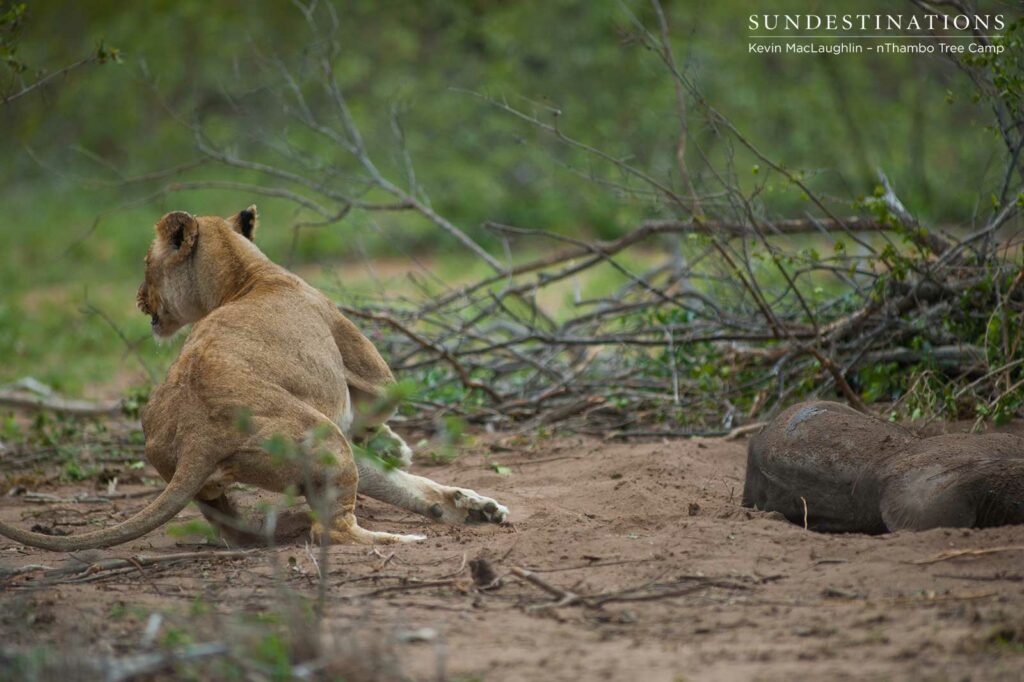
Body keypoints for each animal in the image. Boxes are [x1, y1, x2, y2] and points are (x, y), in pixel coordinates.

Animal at [0, 206, 508, 550]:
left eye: (145, 264)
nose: (139, 297)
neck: (247, 275)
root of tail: (200, 434)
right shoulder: (368, 365)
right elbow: (384, 403)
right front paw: (393, 443)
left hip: (286, 455)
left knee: (243, 528)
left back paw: (470, 510)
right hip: (324, 437)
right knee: (331, 530)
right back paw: (398, 540)